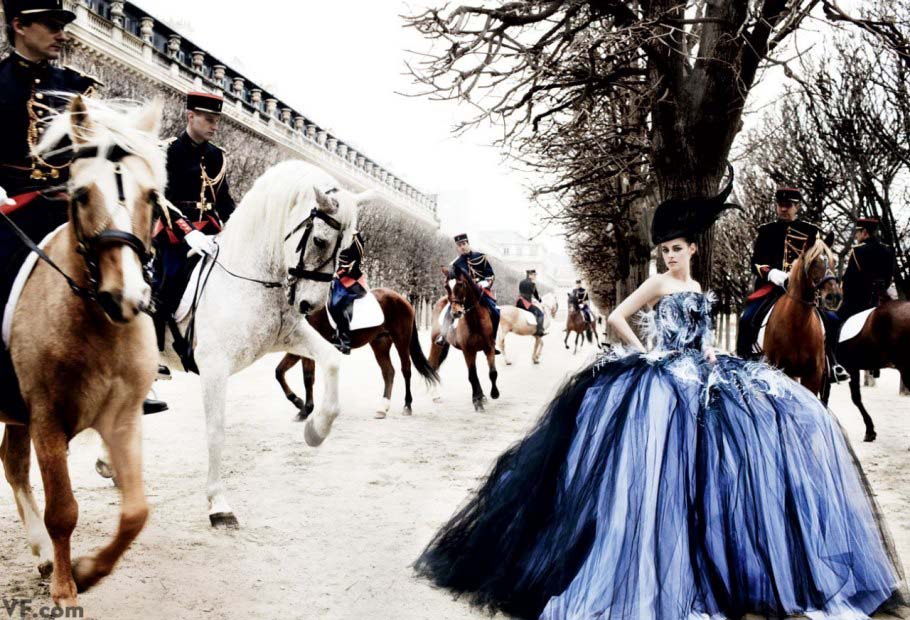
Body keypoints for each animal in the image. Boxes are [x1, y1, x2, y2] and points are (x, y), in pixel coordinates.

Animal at [0, 99, 164, 608]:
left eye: (152, 197)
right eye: (82, 195)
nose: (124, 297)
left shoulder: (123, 418)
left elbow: (136, 513)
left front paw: (89, 570)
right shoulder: (46, 418)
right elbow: (63, 510)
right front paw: (66, 587)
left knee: (11, 464)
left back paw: (41, 551)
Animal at [272, 288, 440, 418]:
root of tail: (402, 299)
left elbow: (307, 378)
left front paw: (305, 409)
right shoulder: (299, 348)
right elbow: (279, 371)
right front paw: (298, 402)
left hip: (401, 341)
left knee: (406, 370)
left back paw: (407, 406)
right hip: (380, 343)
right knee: (388, 372)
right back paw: (382, 408)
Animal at [432, 268, 502, 410]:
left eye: (460, 284)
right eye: (446, 286)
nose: (456, 313)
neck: (475, 320)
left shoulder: (489, 348)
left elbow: (492, 372)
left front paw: (494, 393)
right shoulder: (468, 351)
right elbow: (472, 376)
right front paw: (477, 401)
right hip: (437, 344)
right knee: (433, 365)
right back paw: (435, 395)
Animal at [764, 240, 840, 394]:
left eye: (834, 262)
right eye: (813, 262)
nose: (834, 297)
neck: (798, 325)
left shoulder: (814, 375)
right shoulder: (782, 371)